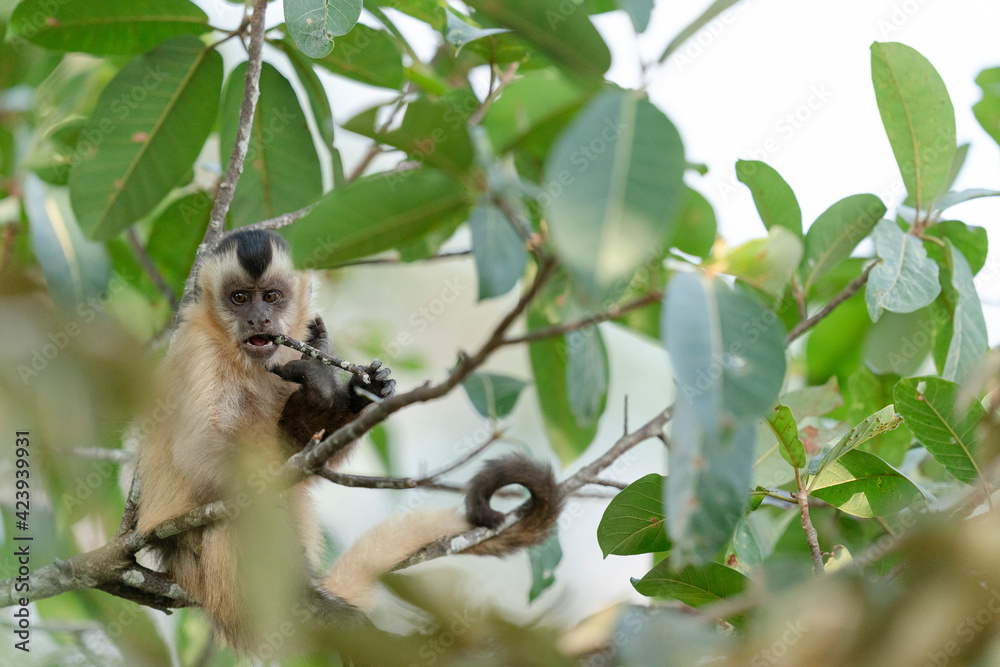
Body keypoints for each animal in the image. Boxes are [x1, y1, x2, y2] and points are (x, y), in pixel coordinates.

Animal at [121, 228, 561, 655]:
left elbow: (313, 458)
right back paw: (312, 607)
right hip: (189, 545)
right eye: (239, 298)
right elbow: (199, 452)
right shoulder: (196, 350)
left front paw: (351, 392)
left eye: (271, 297)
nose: (258, 318)